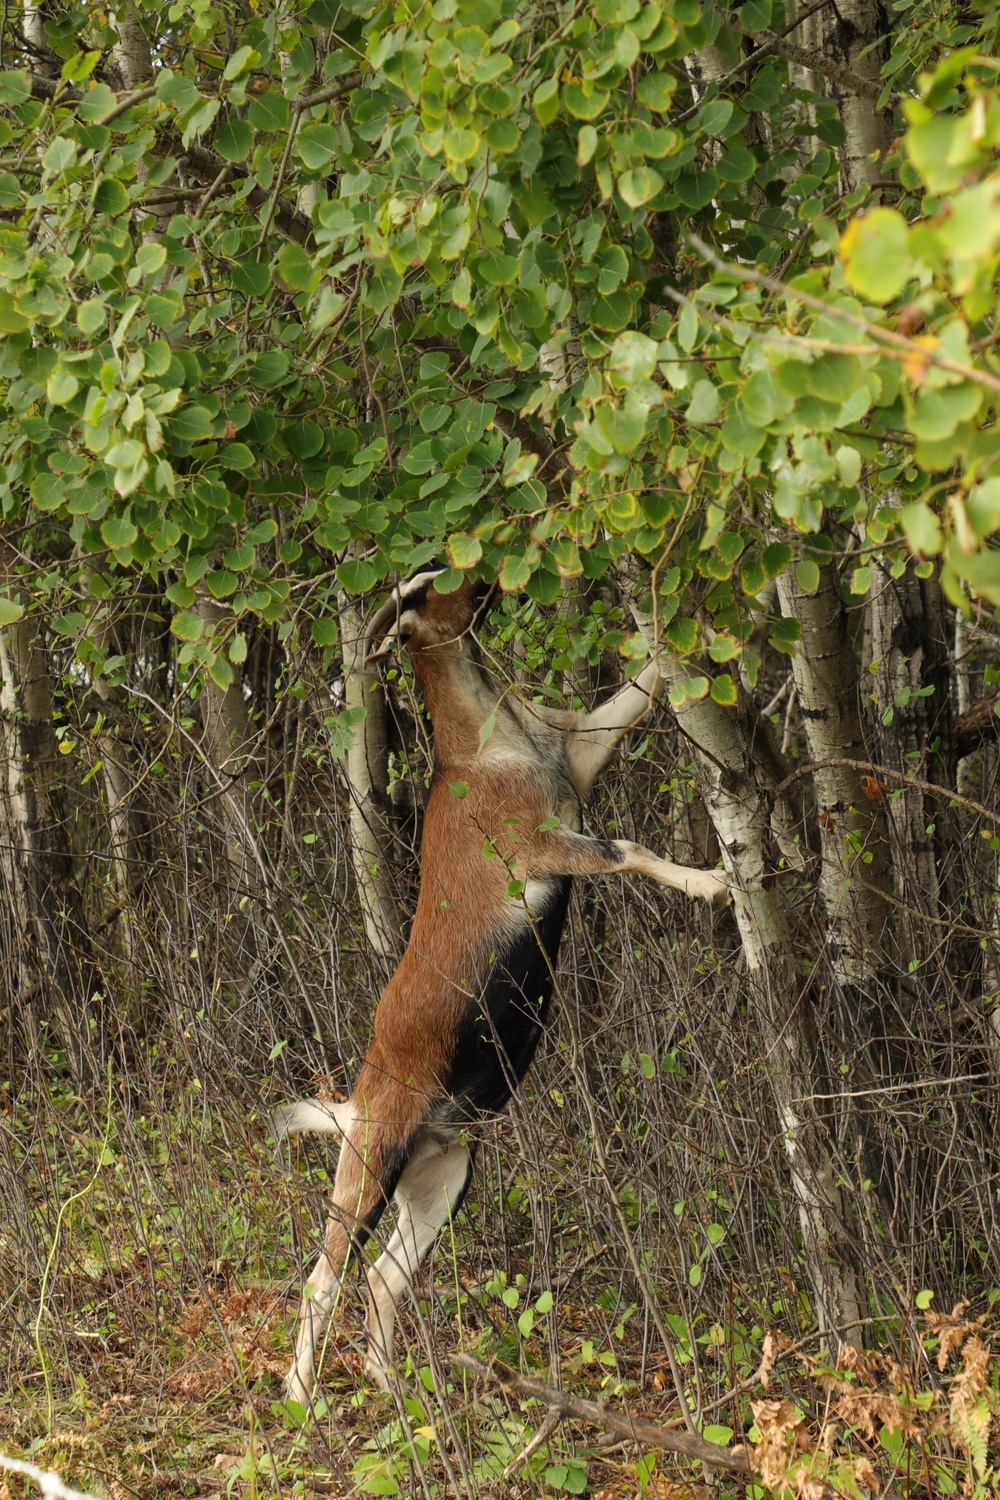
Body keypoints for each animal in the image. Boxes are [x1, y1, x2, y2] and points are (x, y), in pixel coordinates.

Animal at [275, 567, 728, 1398]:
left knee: (385, 1276)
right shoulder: (540, 846)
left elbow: (641, 687)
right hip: (370, 1167)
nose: (486, 576)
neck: (489, 741)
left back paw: (390, 1383)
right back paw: (300, 1398)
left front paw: (695, 623)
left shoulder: (583, 750)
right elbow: (629, 848)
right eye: (421, 589)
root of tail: (353, 1105)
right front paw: (715, 884)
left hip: (442, 1179)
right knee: (324, 1277)